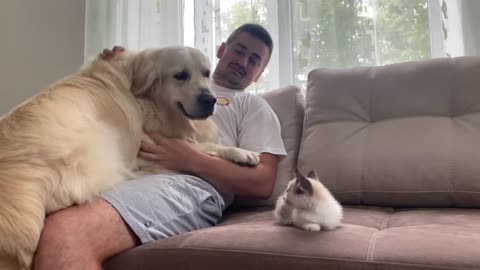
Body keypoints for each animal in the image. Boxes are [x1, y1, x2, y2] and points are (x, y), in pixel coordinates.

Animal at [0, 47, 260, 270]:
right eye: (180, 76)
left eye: (207, 73)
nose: (210, 100)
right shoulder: (149, 148)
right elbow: (201, 146)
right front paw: (243, 153)